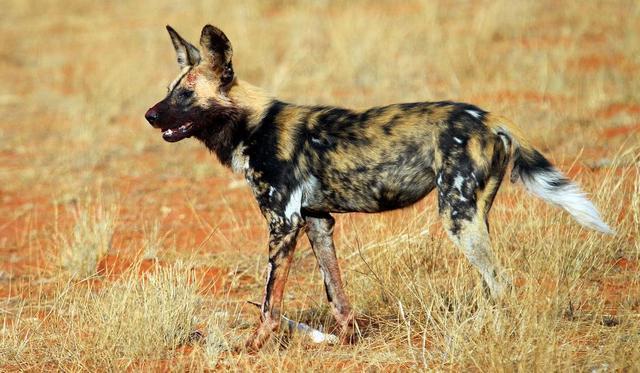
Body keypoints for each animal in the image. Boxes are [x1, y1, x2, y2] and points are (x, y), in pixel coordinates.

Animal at [146, 25, 616, 348]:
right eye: (169, 90)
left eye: (186, 95)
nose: (150, 115)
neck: (253, 125)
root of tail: (489, 116)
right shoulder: (316, 221)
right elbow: (337, 294)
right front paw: (347, 341)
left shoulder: (284, 223)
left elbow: (269, 304)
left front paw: (253, 346)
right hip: (473, 215)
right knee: (493, 283)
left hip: (456, 216)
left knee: (501, 282)